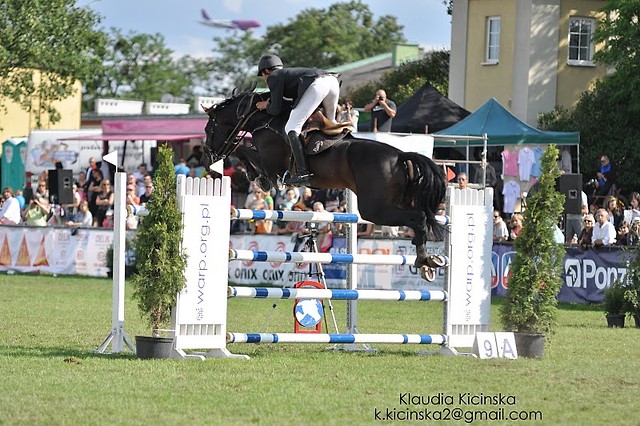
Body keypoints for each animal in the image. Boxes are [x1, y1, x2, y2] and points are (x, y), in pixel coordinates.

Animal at [202, 88, 448, 272]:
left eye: (208, 129)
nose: (208, 159)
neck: (266, 120)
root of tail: (401, 156)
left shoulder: (270, 163)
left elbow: (243, 151)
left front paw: (258, 179)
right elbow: (244, 151)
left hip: (374, 209)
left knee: (417, 218)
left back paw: (423, 259)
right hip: (397, 201)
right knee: (420, 217)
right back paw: (426, 260)